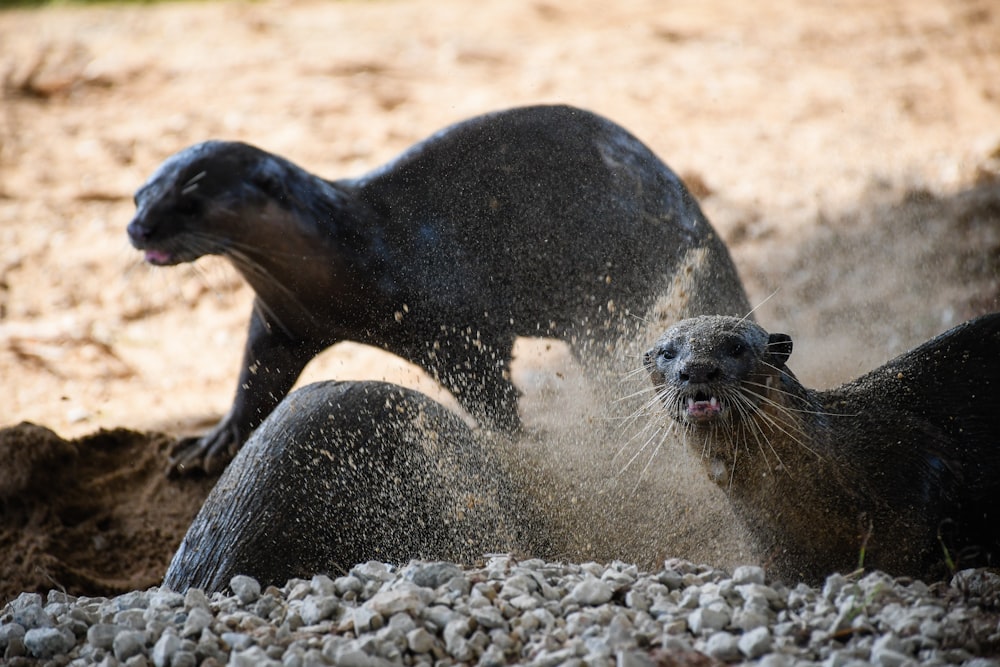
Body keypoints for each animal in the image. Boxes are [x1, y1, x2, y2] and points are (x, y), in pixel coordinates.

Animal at [127, 104, 752, 474]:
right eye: (138, 194)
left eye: (190, 201)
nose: (139, 229)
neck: (356, 253)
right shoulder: (281, 321)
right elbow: (254, 380)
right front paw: (212, 442)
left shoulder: (455, 326)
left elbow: (492, 392)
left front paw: (518, 449)